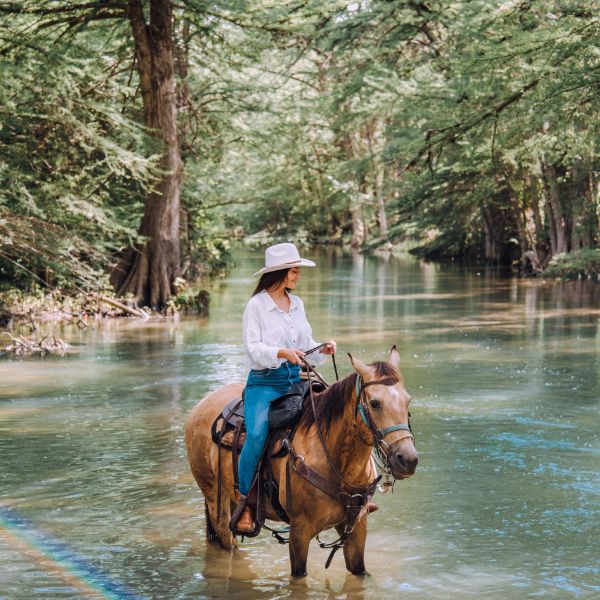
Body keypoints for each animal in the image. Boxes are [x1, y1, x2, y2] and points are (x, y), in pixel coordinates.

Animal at [184, 346, 418, 576]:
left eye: (408, 400)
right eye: (375, 403)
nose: (408, 459)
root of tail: (200, 406)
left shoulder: (357, 526)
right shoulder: (299, 531)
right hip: (215, 500)